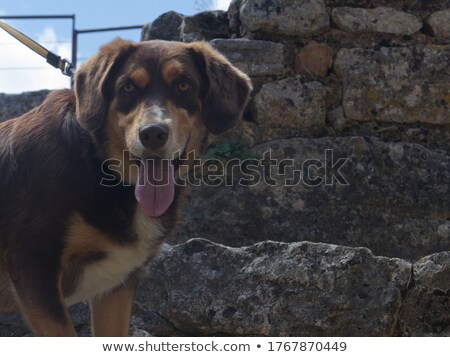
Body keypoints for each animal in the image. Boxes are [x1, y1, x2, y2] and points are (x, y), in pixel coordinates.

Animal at [0, 39, 251, 334]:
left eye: (184, 85)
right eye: (128, 87)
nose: (153, 133)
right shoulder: (35, 268)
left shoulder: (116, 287)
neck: (98, 164)